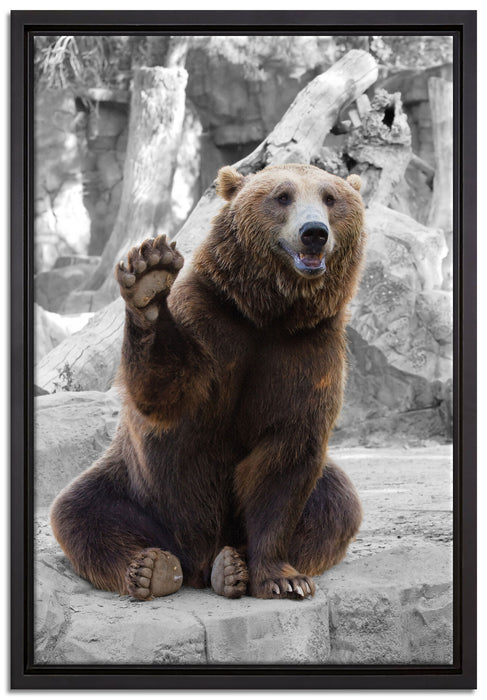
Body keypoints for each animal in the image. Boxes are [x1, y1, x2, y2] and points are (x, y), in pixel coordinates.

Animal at [50, 163, 365, 602]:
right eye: (283, 196)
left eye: (330, 198)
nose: (314, 232)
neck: (269, 314)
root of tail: (195, 561)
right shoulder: (211, 322)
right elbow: (166, 392)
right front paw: (149, 278)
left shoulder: (309, 351)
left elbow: (286, 459)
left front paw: (283, 578)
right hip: (135, 487)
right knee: (80, 512)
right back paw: (151, 569)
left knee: (336, 506)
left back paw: (230, 565)